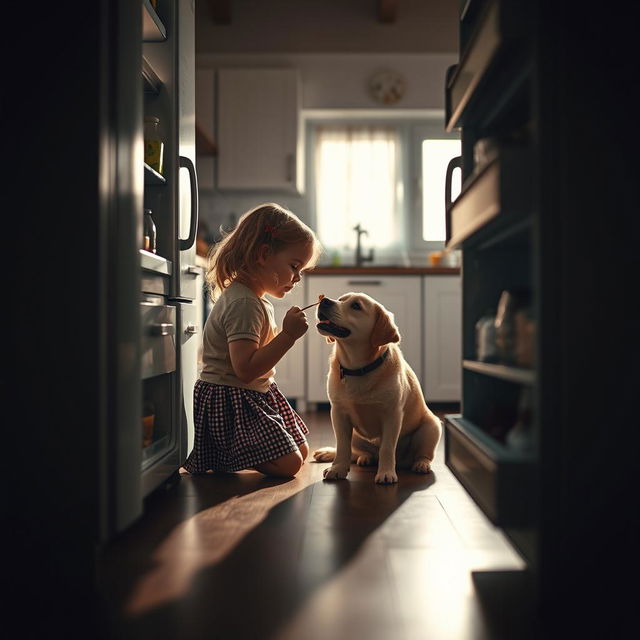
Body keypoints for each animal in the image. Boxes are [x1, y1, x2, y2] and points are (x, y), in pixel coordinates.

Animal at [312, 294, 442, 484]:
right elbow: (342, 446)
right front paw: (338, 468)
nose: (324, 300)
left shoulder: (392, 415)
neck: (358, 368)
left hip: (432, 427)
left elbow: (387, 448)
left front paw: (386, 472)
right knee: (355, 452)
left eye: (356, 306)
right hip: (356, 437)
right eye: (341, 299)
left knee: (423, 454)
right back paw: (361, 457)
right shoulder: (338, 413)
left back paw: (421, 464)